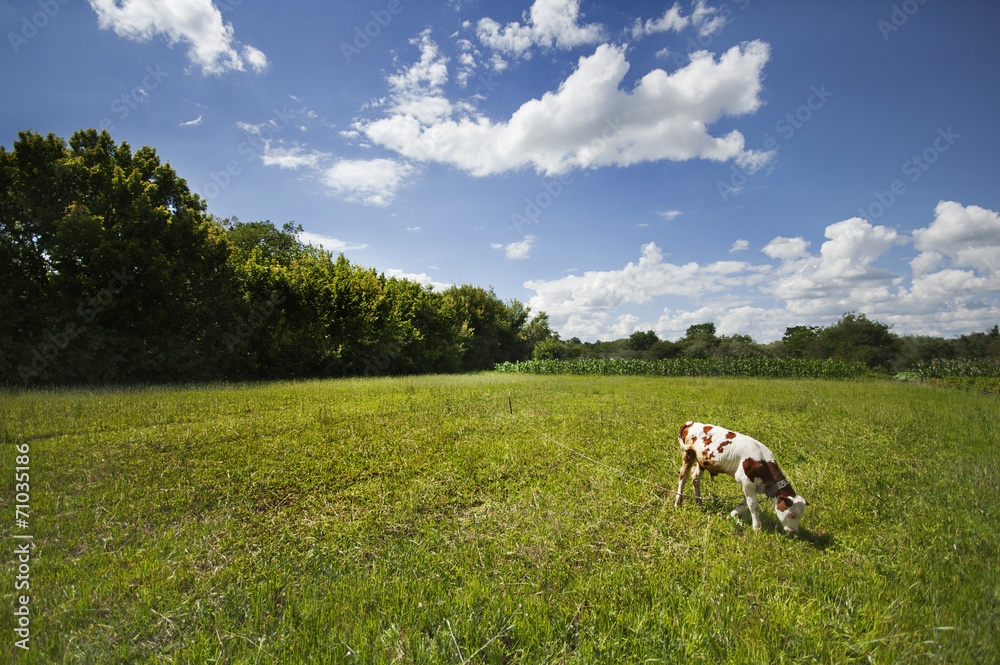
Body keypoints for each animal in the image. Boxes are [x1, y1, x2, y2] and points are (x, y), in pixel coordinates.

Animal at [674, 421, 808, 533]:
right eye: (792, 514)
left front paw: (734, 513)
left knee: (695, 478)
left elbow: (745, 501)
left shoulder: (751, 484)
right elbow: (753, 505)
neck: (762, 462)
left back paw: (700, 503)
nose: (793, 531)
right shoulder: (747, 481)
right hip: (688, 454)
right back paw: (677, 501)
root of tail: (692, 423)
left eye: (801, 516)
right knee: (683, 477)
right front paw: (757, 528)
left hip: (702, 461)